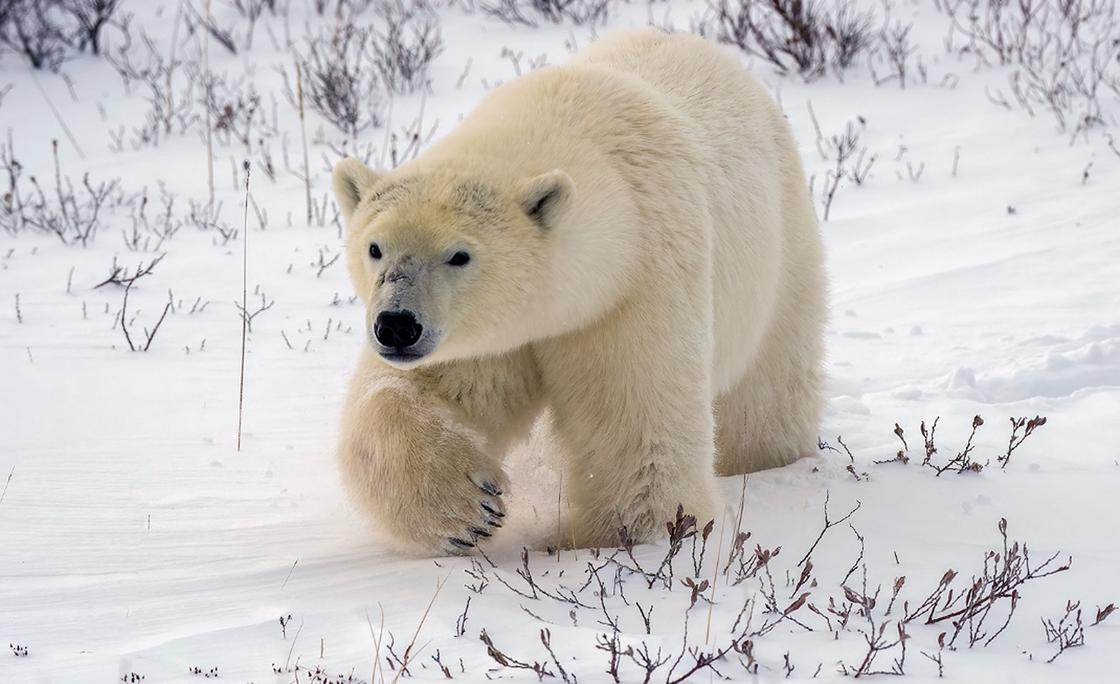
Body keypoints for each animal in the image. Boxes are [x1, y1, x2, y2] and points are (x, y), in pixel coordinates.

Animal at [329, 28, 824, 557]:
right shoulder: (495, 331)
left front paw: (617, 539)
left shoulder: (635, 285)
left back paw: (764, 459)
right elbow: (428, 389)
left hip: (781, 254)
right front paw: (468, 509)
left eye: (459, 255)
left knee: (767, 389)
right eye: (375, 247)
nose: (396, 326)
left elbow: (635, 424)